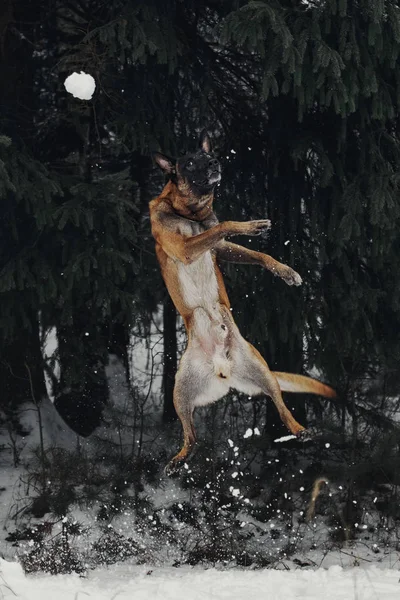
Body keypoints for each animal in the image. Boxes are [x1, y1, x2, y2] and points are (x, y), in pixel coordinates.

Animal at [149, 130, 334, 474]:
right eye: (189, 162)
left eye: (206, 155)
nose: (214, 162)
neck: (189, 212)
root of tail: (222, 369)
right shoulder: (185, 247)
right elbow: (226, 224)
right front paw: (252, 225)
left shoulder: (218, 247)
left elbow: (256, 253)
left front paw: (286, 271)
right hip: (179, 391)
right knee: (191, 438)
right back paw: (178, 460)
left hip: (262, 372)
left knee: (281, 407)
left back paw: (301, 431)